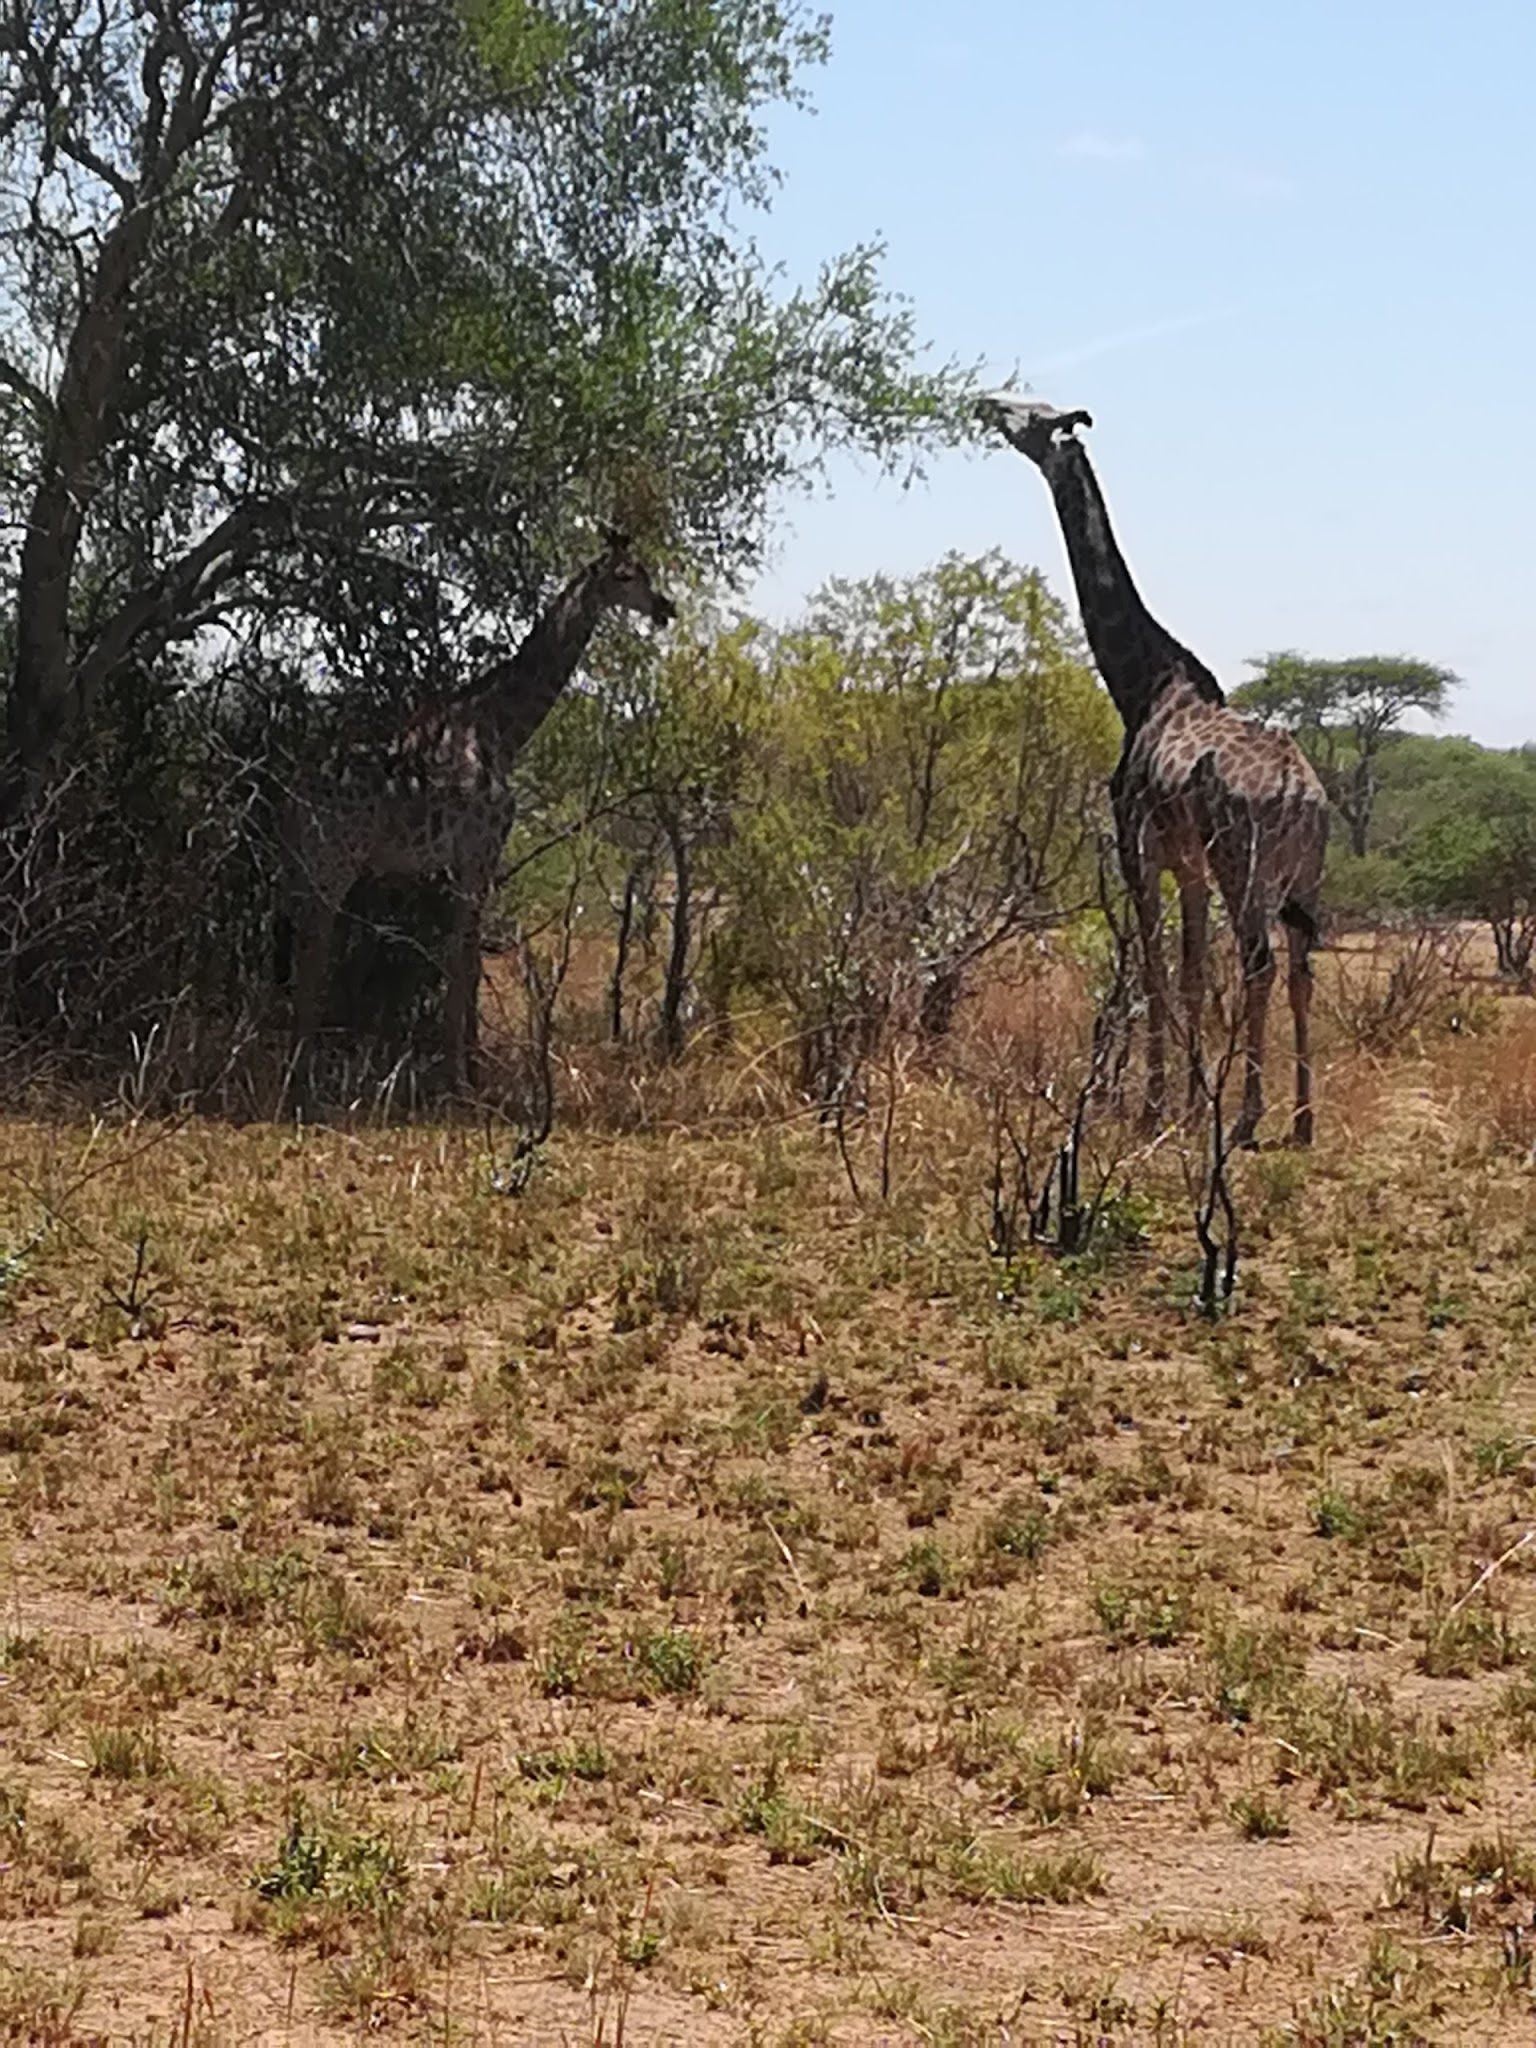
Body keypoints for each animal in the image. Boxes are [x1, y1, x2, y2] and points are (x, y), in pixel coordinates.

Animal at [284, 528, 679, 1089]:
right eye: (626, 576)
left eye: (645, 570)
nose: (665, 607)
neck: (502, 729)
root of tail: (294, 791)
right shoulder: (479, 853)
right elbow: (465, 963)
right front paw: (460, 1077)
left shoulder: (459, 864)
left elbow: (465, 961)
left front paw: (468, 1065)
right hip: (334, 863)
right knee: (313, 950)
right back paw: (301, 1075)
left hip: (303, 864)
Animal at [987, 391, 1335, 1146]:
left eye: (1033, 414)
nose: (984, 404)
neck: (1140, 682)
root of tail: (1301, 793)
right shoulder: (1190, 865)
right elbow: (1191, 974)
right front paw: (1189, 1102)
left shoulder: (1139, 847)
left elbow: (1151, 970)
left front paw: (1153, 1109)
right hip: (1305, 877)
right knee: (1301, 969)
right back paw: (1301, 1121)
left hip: (1245, 864)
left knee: (1260, 963)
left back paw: (1248, 1119)